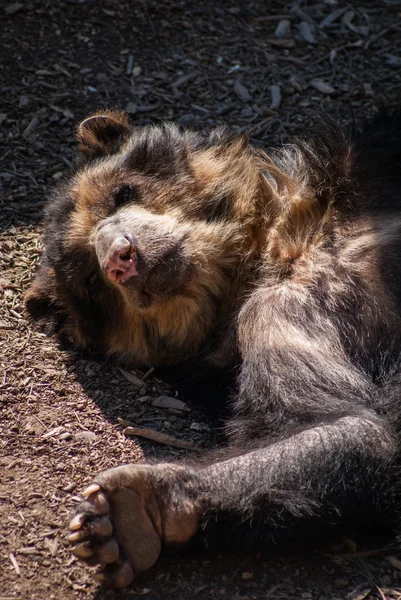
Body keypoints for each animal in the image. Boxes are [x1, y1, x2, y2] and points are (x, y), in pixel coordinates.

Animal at [25, 105, 401, 588]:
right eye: (91, 282)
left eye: (121, 193)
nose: (120, 257)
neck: (280, 243)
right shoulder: (272, 318)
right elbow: (349, 428)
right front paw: (136, 509)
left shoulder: (369, 162)